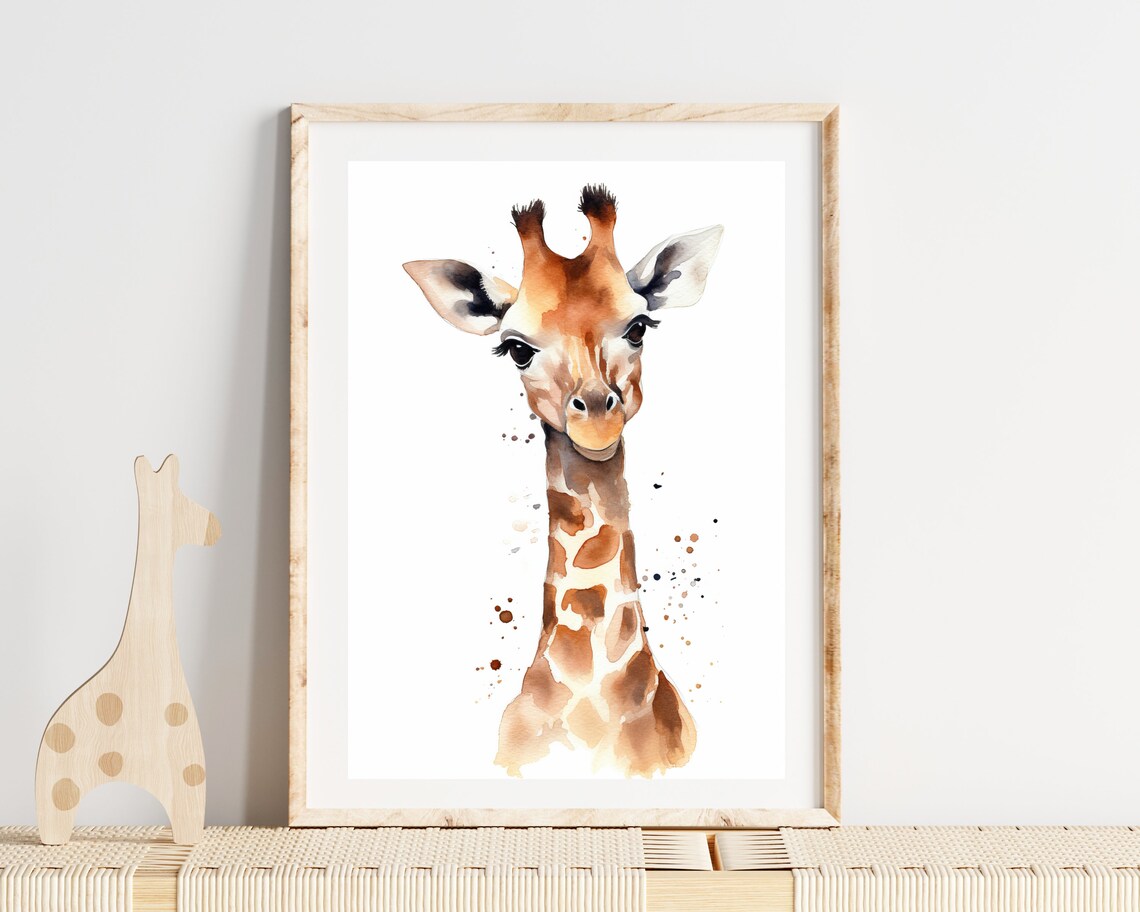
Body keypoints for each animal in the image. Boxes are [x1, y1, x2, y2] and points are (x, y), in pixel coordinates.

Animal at [36, 454, 220, 845]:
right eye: (184, 501)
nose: (217, 526)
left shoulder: (183, 776)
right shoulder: (188, 777)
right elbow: (191, 815)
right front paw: (189, 842)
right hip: (59, 786)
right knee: (54, 817)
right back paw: (54, 841)